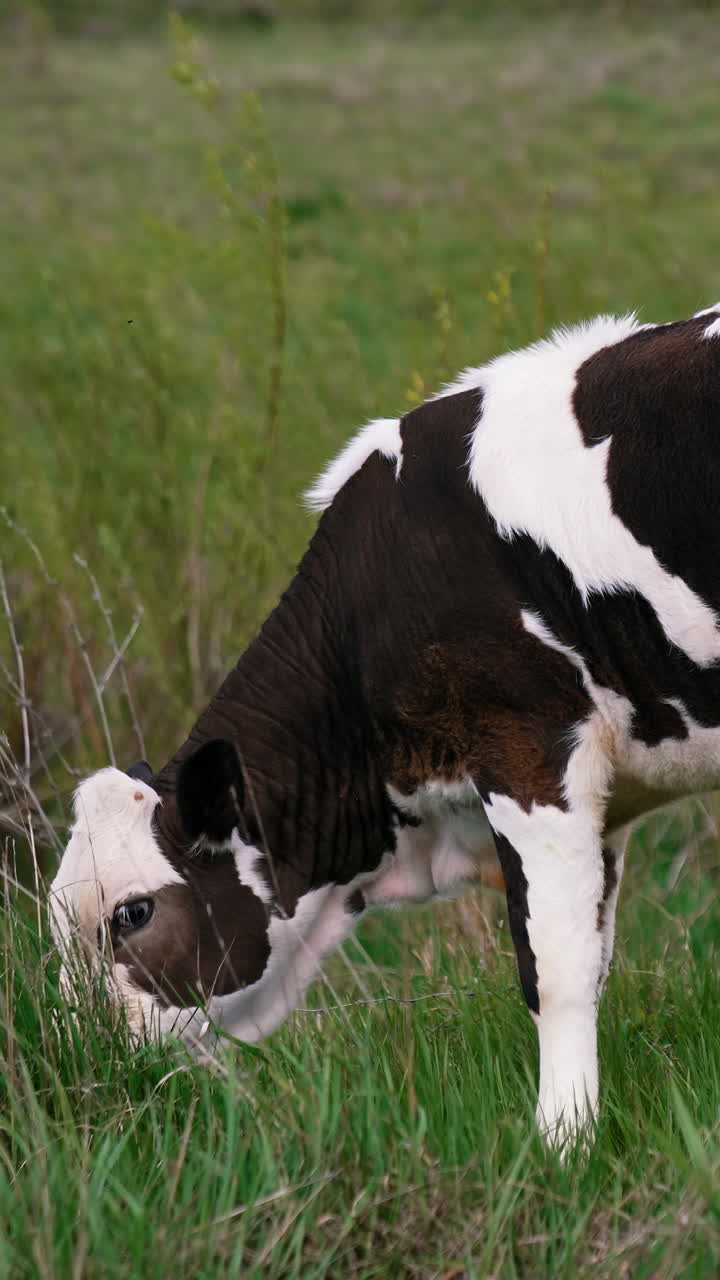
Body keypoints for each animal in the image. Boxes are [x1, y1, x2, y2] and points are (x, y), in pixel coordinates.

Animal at [50, 303, 720, 1148]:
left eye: (131, 914)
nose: (87, 1060)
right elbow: (593, 955)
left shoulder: (529, 749)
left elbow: (555, 970)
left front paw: (562, 1143)